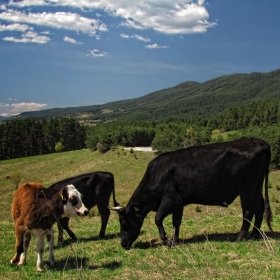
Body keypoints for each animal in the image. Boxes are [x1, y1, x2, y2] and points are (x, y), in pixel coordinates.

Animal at [110, 137, 274, 248]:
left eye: (123, 223)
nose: (123, 244)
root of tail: (260, 142)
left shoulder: (170, 199)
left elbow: (158, 218)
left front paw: (166, 240)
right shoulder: (179, 203)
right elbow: (176, 222)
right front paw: (175, 241)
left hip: (247, 188)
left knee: (248, 211)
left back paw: (240, 237)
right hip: (256, 187)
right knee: (259, 208)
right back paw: (255, 234)